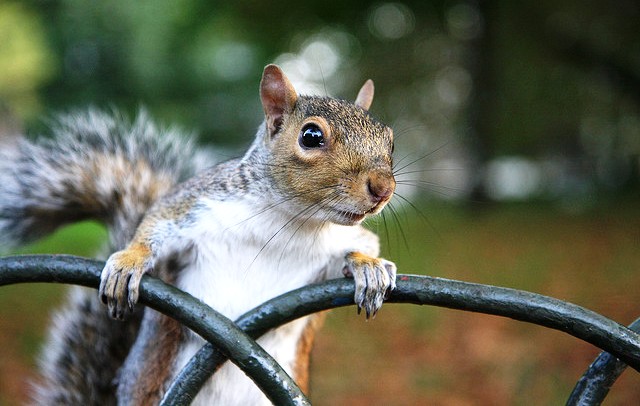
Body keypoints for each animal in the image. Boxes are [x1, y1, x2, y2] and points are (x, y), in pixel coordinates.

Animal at [0, 65, 398, 404]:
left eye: (390, 141)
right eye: (311, 136)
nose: (383, 189)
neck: (291, 221)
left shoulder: (326, 256)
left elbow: (359, 248)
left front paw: (368, 266)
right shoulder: (195, 205)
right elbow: (155, 225)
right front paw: (130, 261)